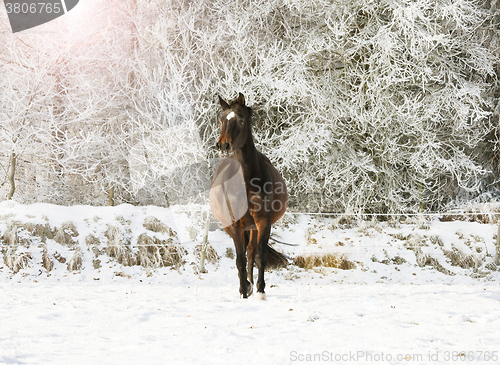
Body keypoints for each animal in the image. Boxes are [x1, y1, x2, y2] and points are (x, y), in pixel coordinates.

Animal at [209, 92, 288, 298]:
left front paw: (260, 291)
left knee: (252, 251)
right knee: (244, 255)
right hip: (233, 227)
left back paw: (252, 284)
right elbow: (239, 260)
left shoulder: (263, 221)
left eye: (241, 120)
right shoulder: (235, 225)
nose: (223, 145)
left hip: (253, 227)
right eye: (221, 120)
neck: (244, 183)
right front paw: (244, 291)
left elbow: (260, 256)